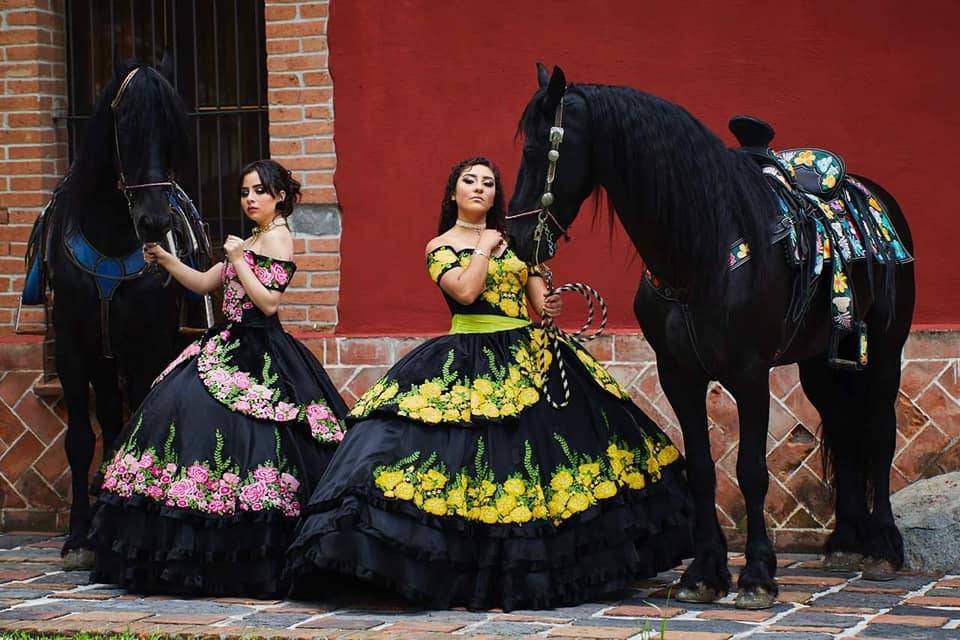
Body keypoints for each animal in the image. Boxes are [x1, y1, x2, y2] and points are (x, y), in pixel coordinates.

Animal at [25, 55, 197, 564]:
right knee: (107, 406)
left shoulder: (150, 340)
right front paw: (79, 533)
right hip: (102, 352)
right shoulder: (70, 342)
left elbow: (141, 418)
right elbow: (81, 438)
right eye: (126, 126)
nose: (155, 221)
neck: (113, 231)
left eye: (172, 127)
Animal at [510, 66, 916, 608]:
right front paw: (703, 574)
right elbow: (702, 469)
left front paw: (758, 576)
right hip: (822, 362)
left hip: (887, 352)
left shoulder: (750, 373)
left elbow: (751, 471)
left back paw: (883, 550)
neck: (699, 251)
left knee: (880, 434)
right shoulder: (677, 374)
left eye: (539, 150)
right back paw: (846, 544)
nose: (515, 239)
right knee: (843, 427)